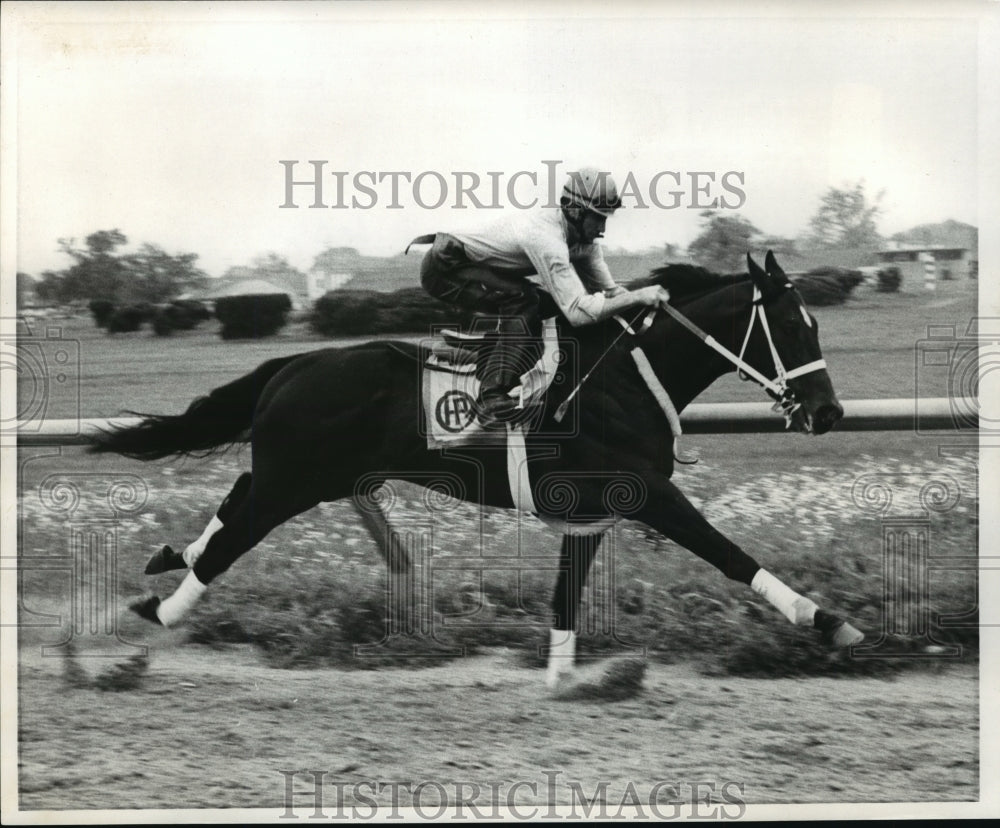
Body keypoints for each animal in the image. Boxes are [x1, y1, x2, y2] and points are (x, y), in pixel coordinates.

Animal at [90, 251, 864, 684]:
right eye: (791, 326)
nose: (827, 412)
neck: (627, 377)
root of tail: (292, 365)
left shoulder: (594, 510)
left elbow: (566, 596)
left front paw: (562, 675)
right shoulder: (646, 492)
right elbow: (727, 552)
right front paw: (828, 620)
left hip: (311, 474)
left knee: (235, 502)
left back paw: (171, 557)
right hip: (298, 478)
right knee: (237, 533)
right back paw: (162, 607)